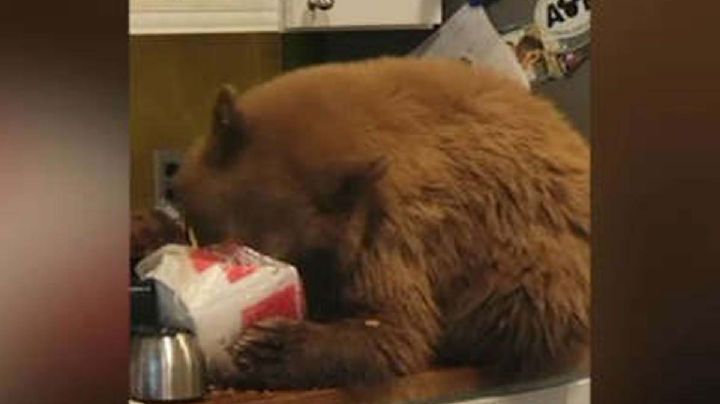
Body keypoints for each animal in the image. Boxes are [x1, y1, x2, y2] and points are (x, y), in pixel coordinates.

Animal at [174, 57, 590, 390]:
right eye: (216, 238)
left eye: (280, 254)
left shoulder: (389, 230)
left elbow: (397, 330)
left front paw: (267, 347)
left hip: (534, 263)